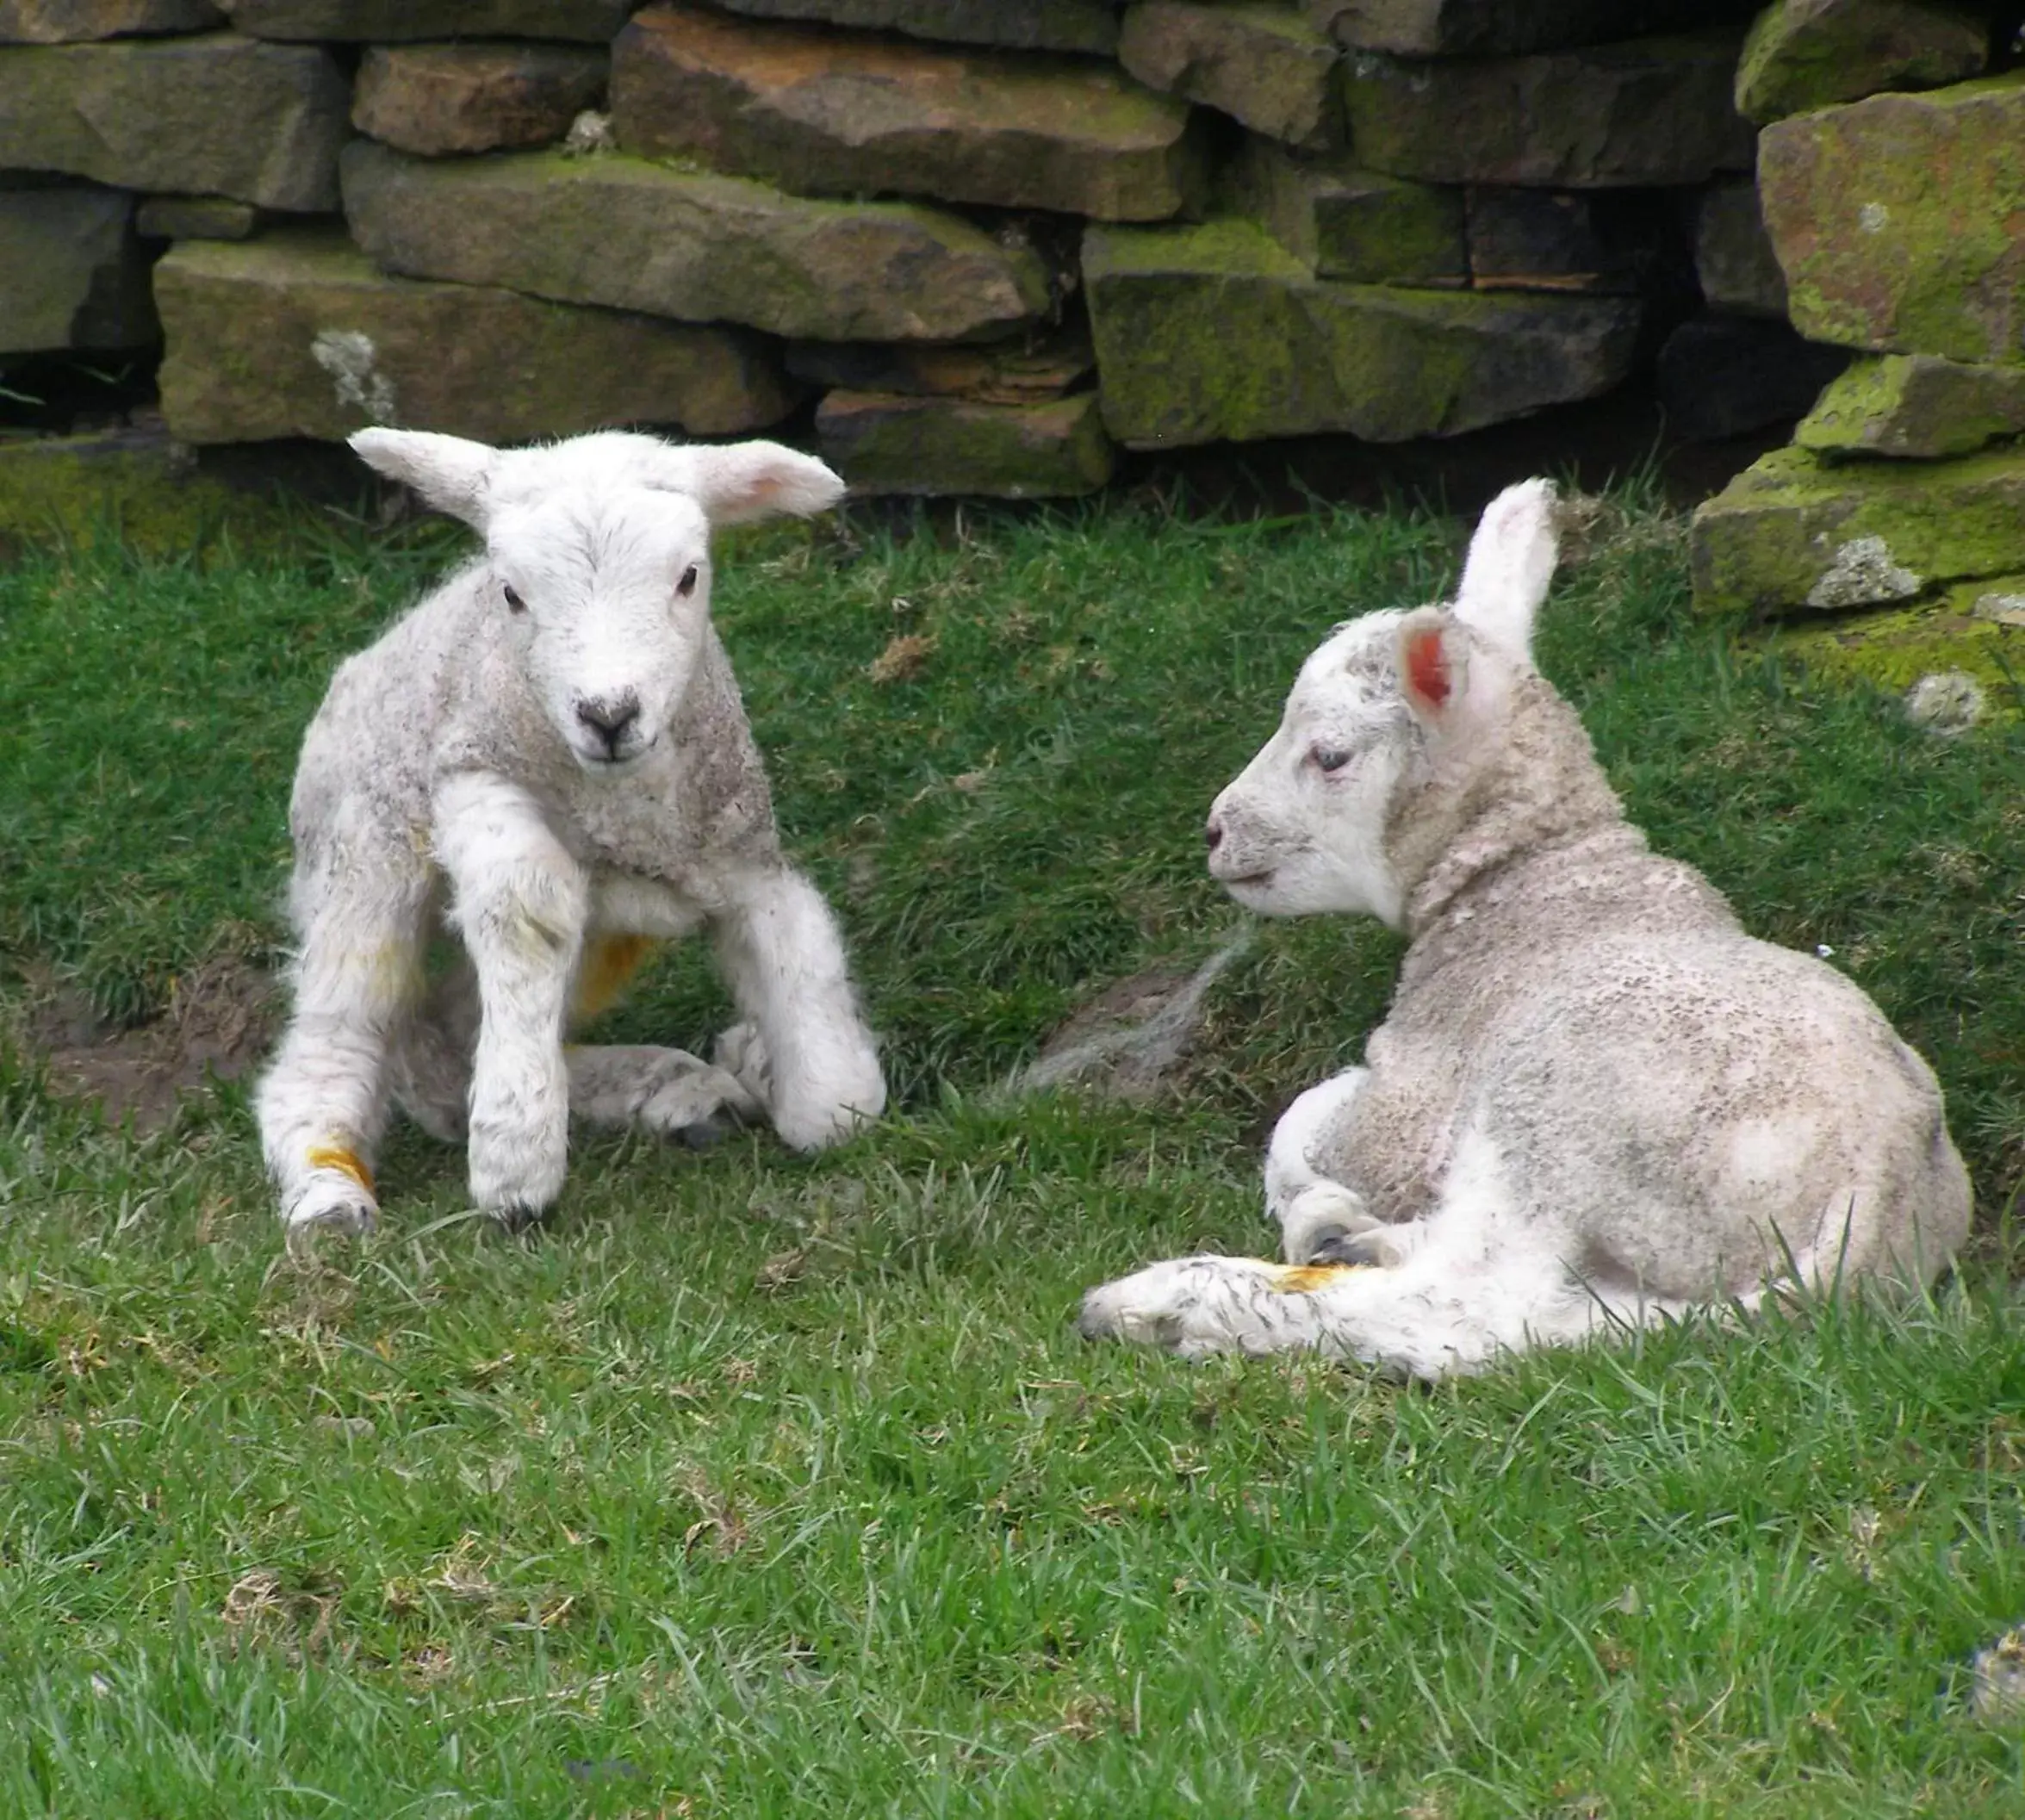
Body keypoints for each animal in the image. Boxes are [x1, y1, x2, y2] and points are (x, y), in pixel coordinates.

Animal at [252, 426, 886, 1239]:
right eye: (512, 593)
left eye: (688, 577)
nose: (607, 715)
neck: (620, 800)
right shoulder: (470, 775)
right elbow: (526, 908)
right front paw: (515, 1160)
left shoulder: (742, 854)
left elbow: (829, 1076)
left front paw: (797, 1077)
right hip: (364, 846)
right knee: (344, 1026)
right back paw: (328, 1187)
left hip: (611, 919)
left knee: (450, 1031)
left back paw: (683, 1084)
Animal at [1085, 483, 1968, 1384]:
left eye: (1329, 756)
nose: (1215, 832)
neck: (1532, 876)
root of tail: (1871, 1200)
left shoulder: (1415, 1096)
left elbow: (1301, 1121)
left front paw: (1317, 1199)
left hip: (1560, 1122)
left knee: (1467, 1307)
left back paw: (1172, 1302)